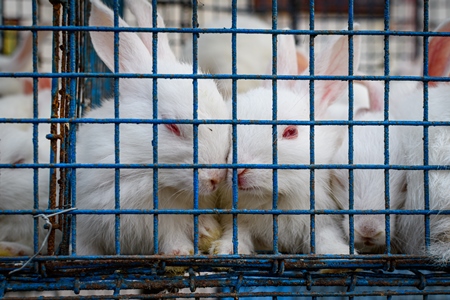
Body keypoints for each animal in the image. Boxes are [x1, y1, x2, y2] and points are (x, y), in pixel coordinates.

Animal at [211, 30, 362, 255]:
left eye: (291, 132)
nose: (238, 171)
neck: (277, 198)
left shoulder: (322, 221)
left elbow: (326, 238)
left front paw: (341, 252)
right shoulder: (239, 220)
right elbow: (237, 235)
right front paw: (225, 250)